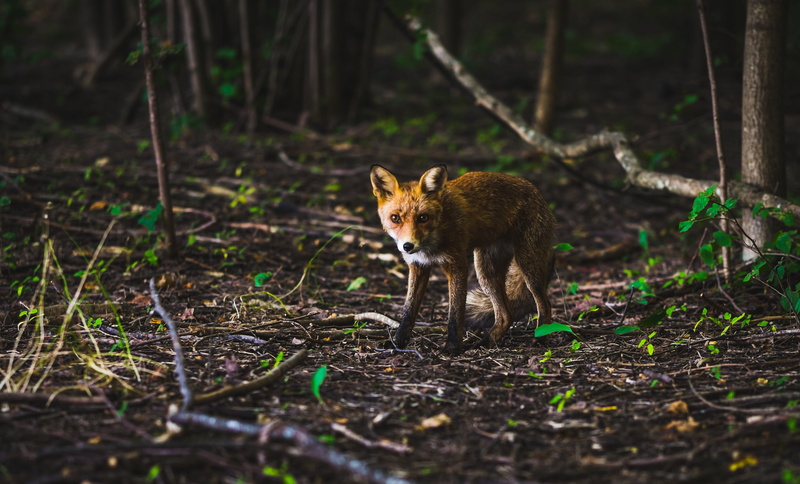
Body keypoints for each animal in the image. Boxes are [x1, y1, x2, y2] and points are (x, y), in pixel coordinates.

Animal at [370, 164, 556, 354]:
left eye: (423, 217)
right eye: (395, 218)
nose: (408, 246)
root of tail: (535, 190)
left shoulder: (457, 266)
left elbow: (455, 314)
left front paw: (452, 348)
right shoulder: (418, 267)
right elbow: (408, 312)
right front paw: (397, 343)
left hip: (528, 267)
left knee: (545, 304)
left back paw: (540, 340)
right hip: (486, 274)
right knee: (506, 315)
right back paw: (486, 342)